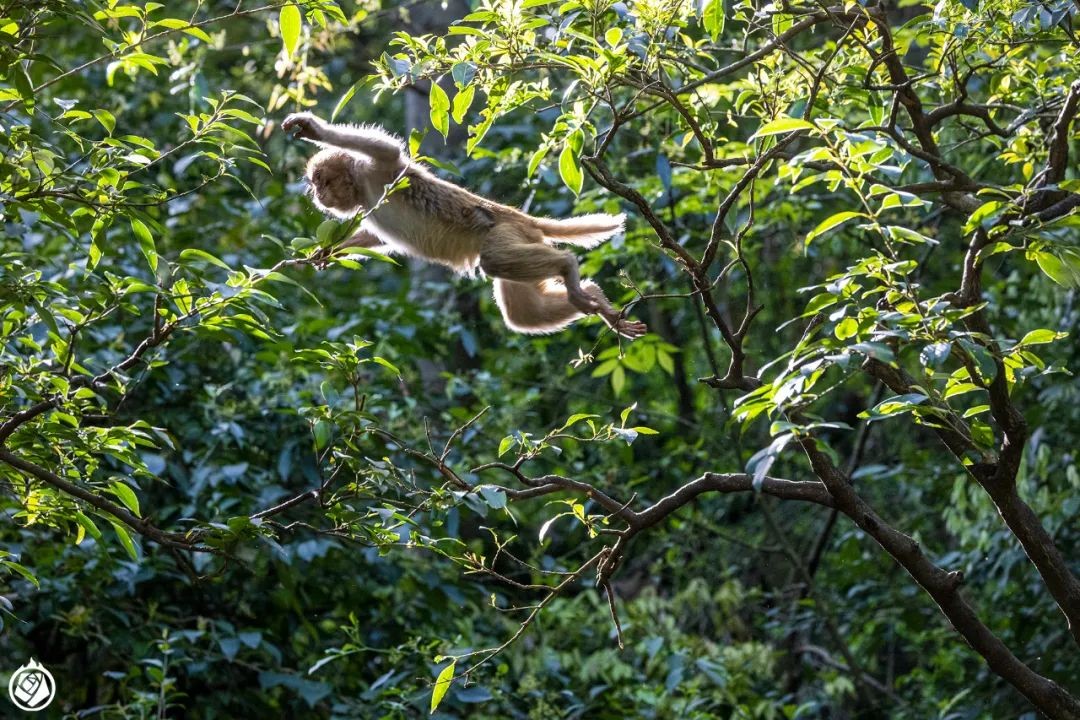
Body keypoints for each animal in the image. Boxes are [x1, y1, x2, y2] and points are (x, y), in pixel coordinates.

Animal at [282, 111, 643, 341]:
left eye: (322, 182)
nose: (318, 195)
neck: (360, 186)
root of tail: (519, 217)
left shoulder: (379, 169)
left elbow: (387, 149)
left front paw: (314, 129)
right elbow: (372, 235)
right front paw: (326, 251)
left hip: (505, 233)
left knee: (496, 262)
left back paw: (569, 269)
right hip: (523, 239)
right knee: (524, 314)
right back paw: (595, 297)